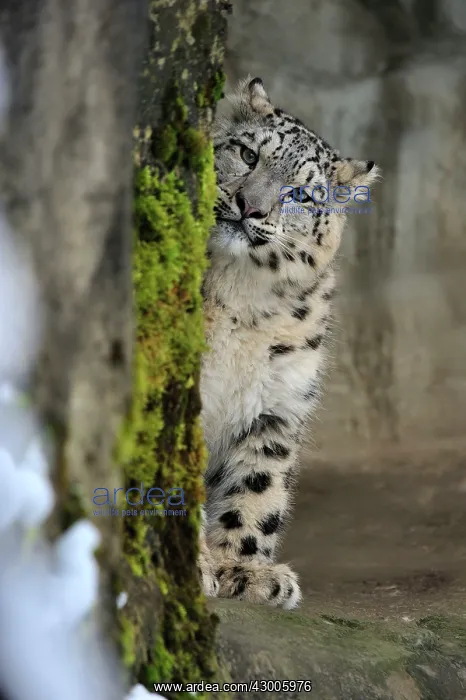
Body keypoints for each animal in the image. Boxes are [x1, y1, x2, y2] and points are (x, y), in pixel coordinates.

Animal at [198, 76, 379, 609]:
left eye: (301, 193)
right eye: (247, 153)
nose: (250, 207)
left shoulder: (277, 404)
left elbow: (258, 488)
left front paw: (245, 571)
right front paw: (199, 565)